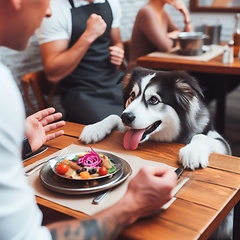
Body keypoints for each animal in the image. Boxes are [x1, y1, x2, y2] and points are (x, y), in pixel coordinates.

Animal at [79, 66, 233, 239]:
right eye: (132, 95)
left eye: (153, 100)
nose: (126, 117)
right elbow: (112, 116)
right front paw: (94, 129)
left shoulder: (222, 144)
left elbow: (200, 136)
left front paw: (192, 153)